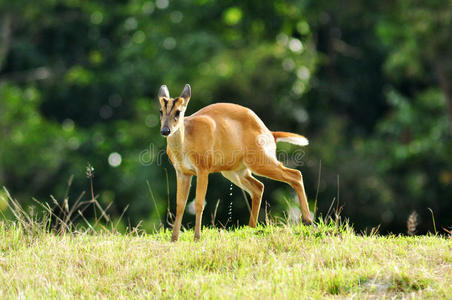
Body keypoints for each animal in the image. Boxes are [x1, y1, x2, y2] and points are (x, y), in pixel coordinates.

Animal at [157, 84, 312, 241]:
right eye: (161, 111)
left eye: (178, 112)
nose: (165, 130)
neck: (187, 142)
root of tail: (270, 133)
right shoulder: (182, 172)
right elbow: (180, 205)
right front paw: (174, 239)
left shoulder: (203, 168)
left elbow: (199, 204)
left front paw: (197, 237)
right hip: (235, 170)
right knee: (258, 187)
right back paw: (251, 228)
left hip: (259, 160)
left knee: (295, 174)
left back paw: (307, 220)